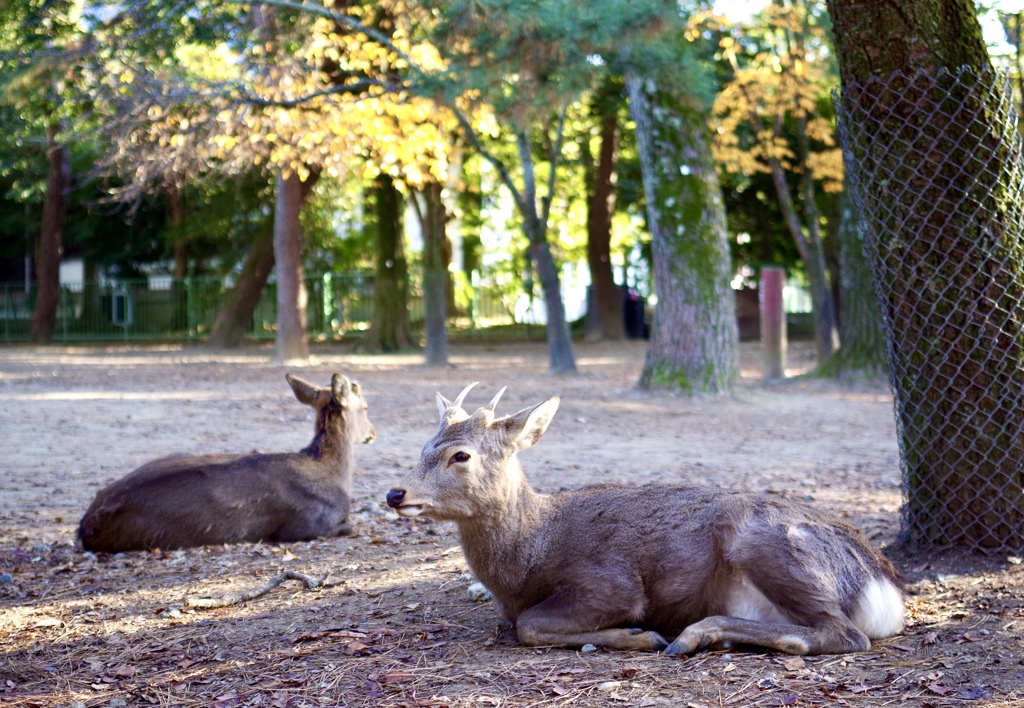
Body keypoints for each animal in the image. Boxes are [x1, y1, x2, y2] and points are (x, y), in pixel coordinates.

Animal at [78, 370, 376, 553]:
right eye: (365, 407)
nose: (373, 432)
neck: (332, 470)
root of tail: (85, 524)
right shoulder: (308, 524)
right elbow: (351, 526)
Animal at [387, 385, 909, 655]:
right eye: (423, 448)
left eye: (461, 455)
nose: (396, 493)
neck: (528, 558)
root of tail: (884, 585)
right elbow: (521, 625)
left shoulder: (611, 582)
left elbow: (530, 627)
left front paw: (638, 635)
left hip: (765, 539)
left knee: (845, 633)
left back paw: (692, 635)